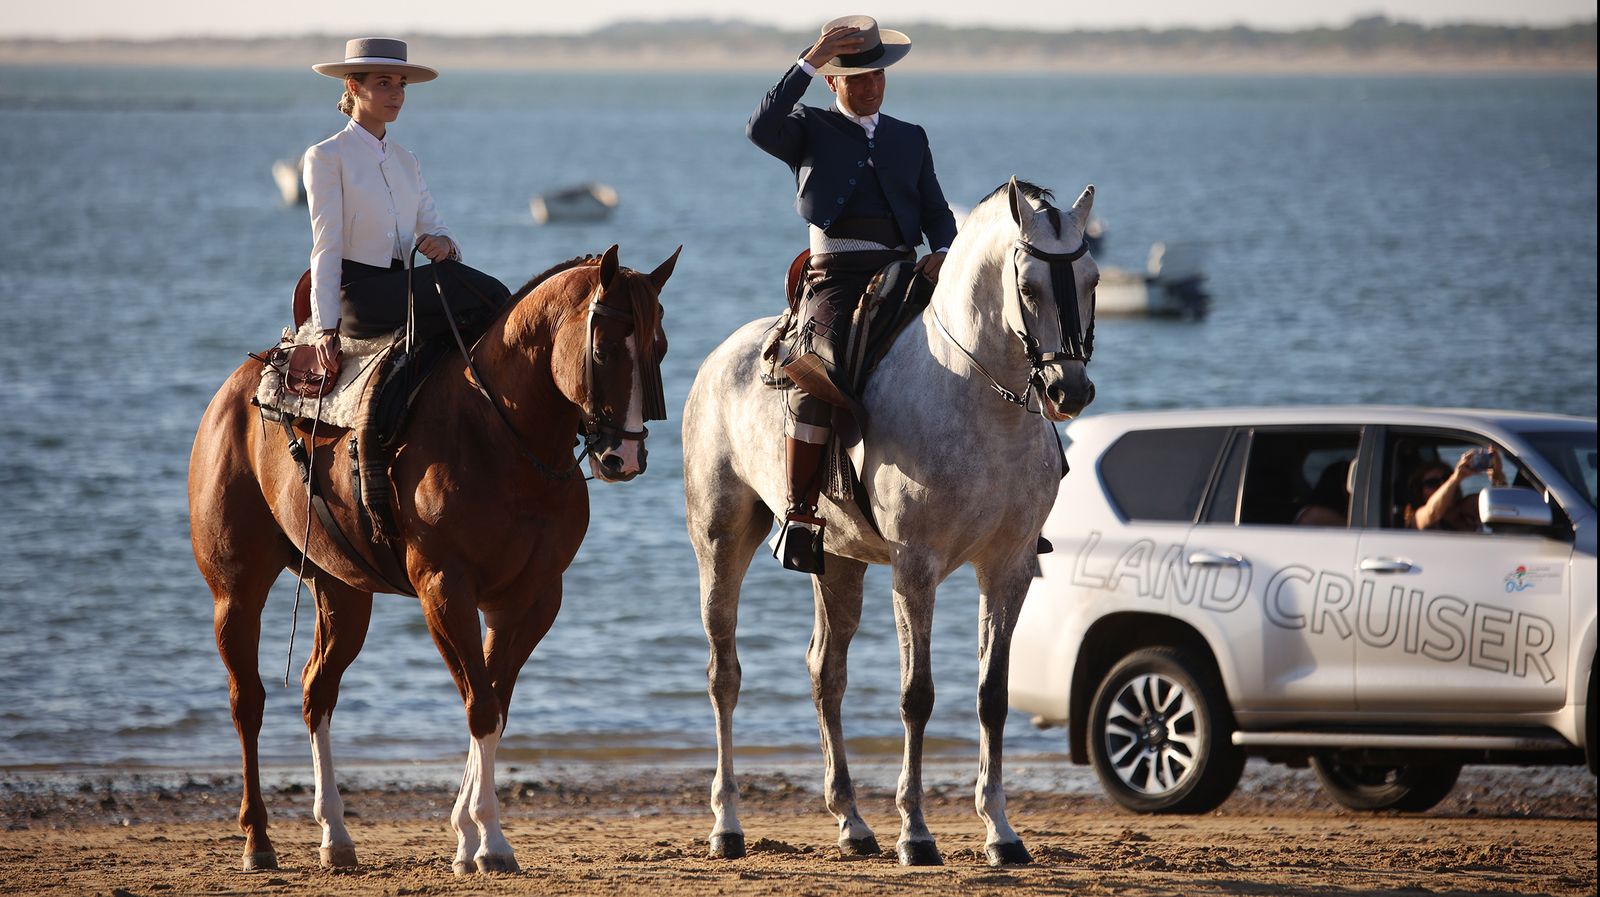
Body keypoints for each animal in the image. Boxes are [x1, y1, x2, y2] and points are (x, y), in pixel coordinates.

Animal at [189, 244, 678, 874]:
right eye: (602, 348)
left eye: (658, 347)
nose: (624, 457)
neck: (498, 432)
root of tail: (242, 382)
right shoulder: (445, 590)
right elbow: (480, 706)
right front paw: (488, 840)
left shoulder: (533, 598)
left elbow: (495, 703)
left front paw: (468, 837)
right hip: (236, 590)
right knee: (247, 700)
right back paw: (258, 840)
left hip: (343, 591)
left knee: (316, 691)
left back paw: (335, 835)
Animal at [684, 179, 1098, 867]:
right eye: (1029, 285)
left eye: (1091, 279)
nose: (1071, 391)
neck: (977, 400)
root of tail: (721, 357)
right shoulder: (916, 568)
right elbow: (916, 695)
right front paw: (916, 831)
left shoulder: (1008, 567)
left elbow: (992, 695)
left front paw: (1000, 830)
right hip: (720, 540)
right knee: (724, 676)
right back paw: (728, 823)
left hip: (838, 561)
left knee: (826, 673)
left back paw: (851, 821)